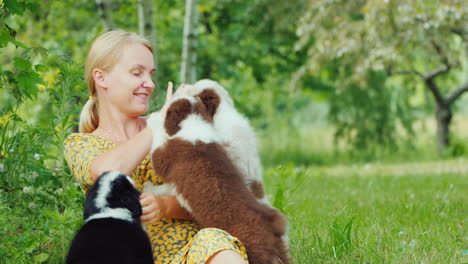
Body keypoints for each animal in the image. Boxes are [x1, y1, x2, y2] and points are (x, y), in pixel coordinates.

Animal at [146, 94, 288, 264]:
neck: (195, 122)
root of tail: (272, 223)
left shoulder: (164, 156)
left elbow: (158, 142)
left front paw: (152, 119)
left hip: (254, 249)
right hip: (280, 249)